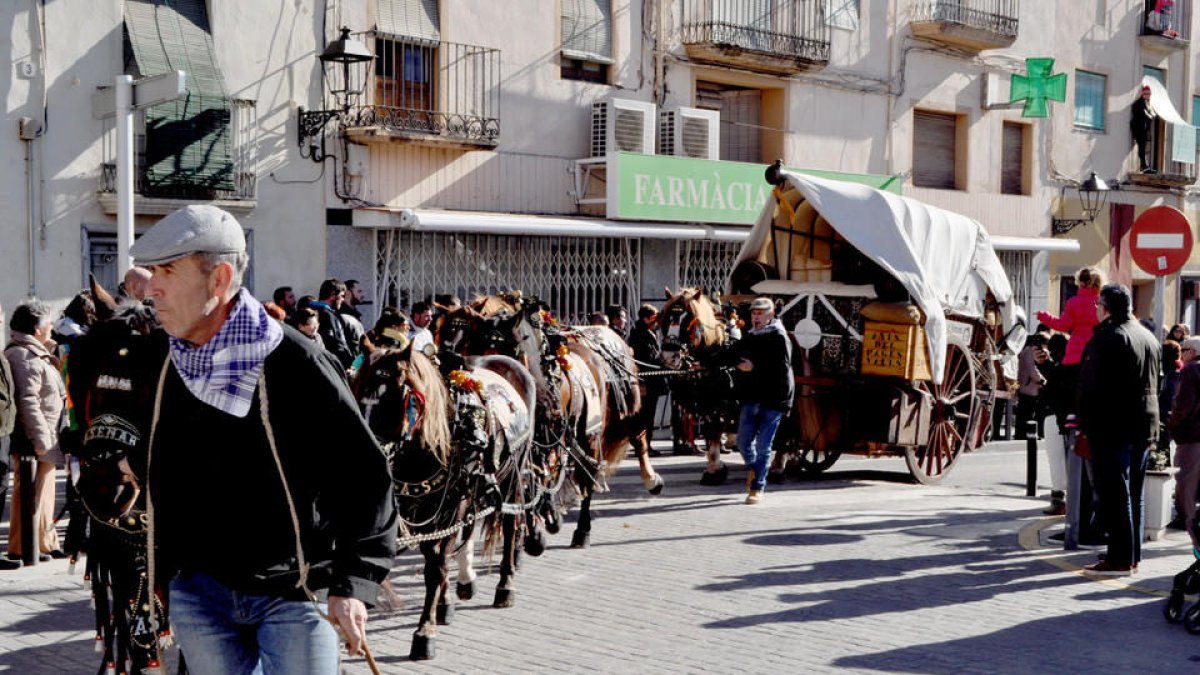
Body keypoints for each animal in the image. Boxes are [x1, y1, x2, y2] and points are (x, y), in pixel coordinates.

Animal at [350, 341, 532, 658]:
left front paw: (425, 632)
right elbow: (435, 558)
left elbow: (435, 566)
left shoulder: (451, 507)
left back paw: (505, 586)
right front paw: (444, 605)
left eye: (394, 397)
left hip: (511, 478)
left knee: (510, 526)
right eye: (358, 392)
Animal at [444, 291, 667, 550]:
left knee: (604, 461)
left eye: (500, 349)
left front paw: (534, 528)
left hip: (597, 427)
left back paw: (587, 526)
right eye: (473, 344)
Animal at [652, 283, 744, 482]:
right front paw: (714, 468)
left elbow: (717, 429)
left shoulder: (720, 403)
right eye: (666, 319)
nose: (669, 356)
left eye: (688, 321)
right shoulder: (706, 403)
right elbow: (711, 431)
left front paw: (714, 469)